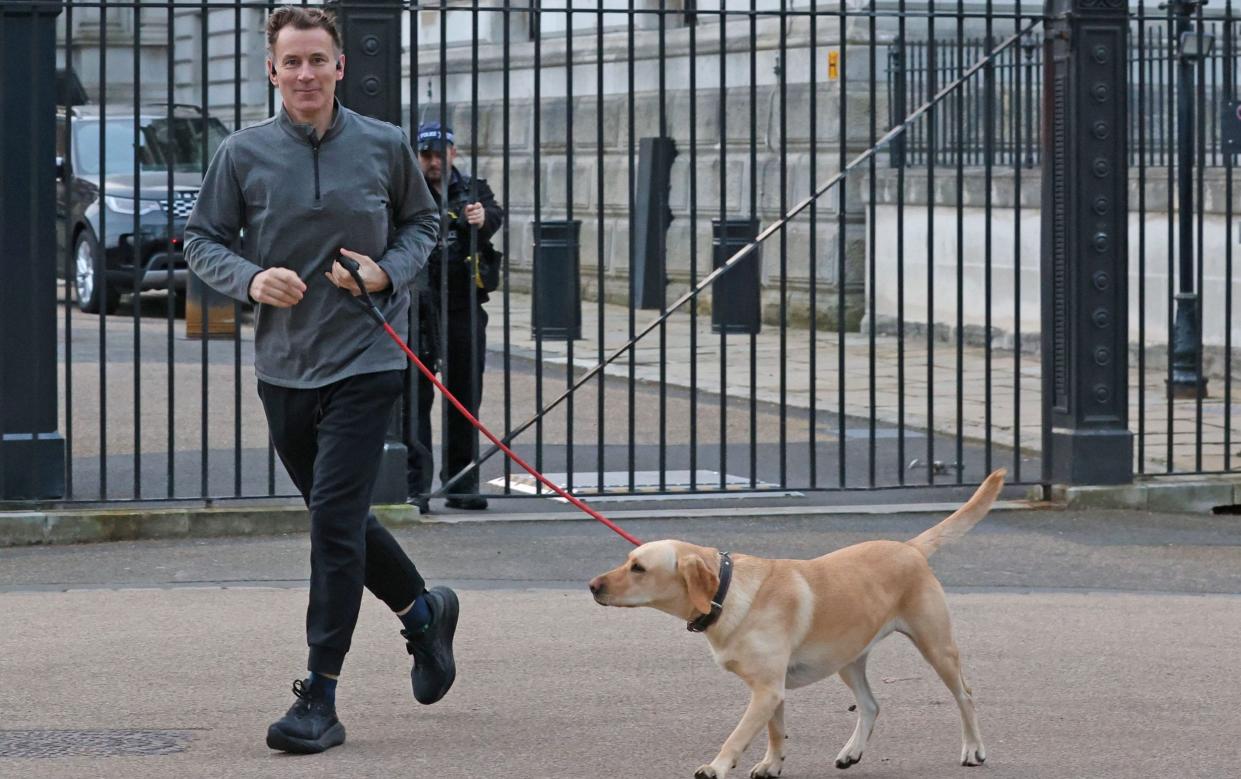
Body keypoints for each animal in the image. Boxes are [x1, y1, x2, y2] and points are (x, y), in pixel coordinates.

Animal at [585, 466, 1002, 774]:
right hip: (848, 659)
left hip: (937, 647)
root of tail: (910, 548)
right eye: (628, 560)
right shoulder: (771, 688)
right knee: (871, 705)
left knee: (965, 696)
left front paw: (717, 767)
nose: (591, 585)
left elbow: (737, 736)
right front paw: (772, 765)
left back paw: (973, 749)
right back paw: (851, 752)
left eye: (638, 568)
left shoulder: (767, 689)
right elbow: (776, 731)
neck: (728, 593)